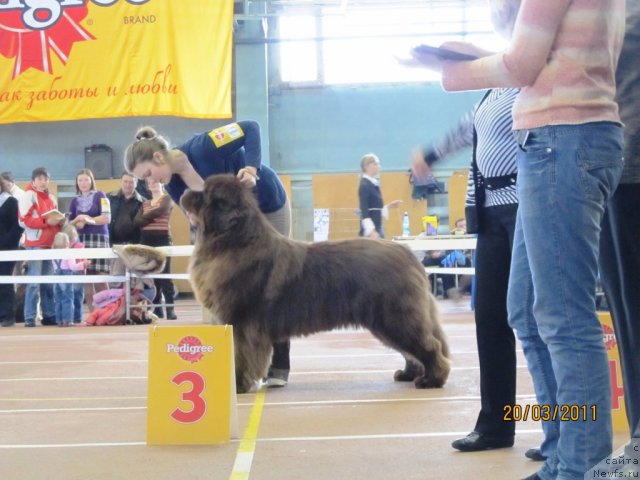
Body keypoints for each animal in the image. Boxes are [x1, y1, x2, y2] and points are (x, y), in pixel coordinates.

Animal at [180, 176, 450, 394]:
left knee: (429, 345)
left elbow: (241, 357)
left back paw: (431, 380)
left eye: (206, 194)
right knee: (414, 349)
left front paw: (237, 386)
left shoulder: (242, 322)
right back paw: (409, 375)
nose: (185, 192)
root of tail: (407, 253)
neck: (233, 241)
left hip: (395, 317)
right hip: (389, 321)